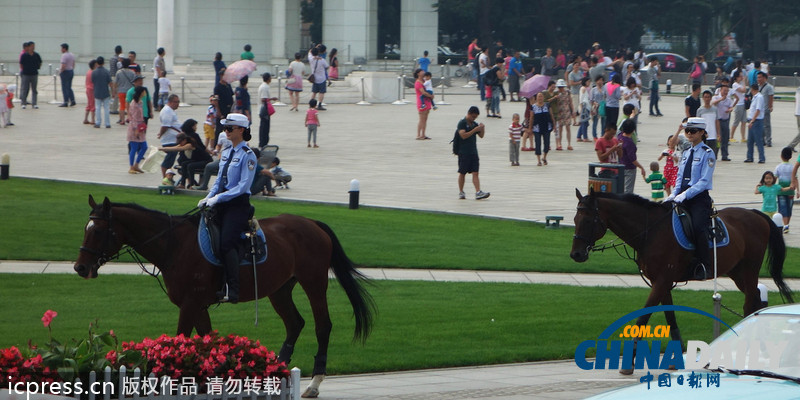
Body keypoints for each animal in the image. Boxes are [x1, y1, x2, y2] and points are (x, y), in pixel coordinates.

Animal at [75, 196, 376, 396]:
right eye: (86, 228)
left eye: (98, 230)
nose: (80, 267)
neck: (175, 244)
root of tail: (311, 222)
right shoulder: (198, 306)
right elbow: (207, 340)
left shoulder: (190, 304)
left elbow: (183, 339)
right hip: (279, 289)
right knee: (294, 324)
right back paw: (275, 374)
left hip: (314, 283)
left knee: (322, 326)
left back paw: (313, 383)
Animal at [572, 191, 792, 372]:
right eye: (574, 219)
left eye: (589, 220)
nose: (576, 254)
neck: (651, 231)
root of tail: (755, 214)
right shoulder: (661, 282)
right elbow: (670, 317)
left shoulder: (662, 280)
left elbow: (644, 317)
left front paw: (630, 362)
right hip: (736, 272)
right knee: (755, 299)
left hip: (749, 269)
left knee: (750, 303)